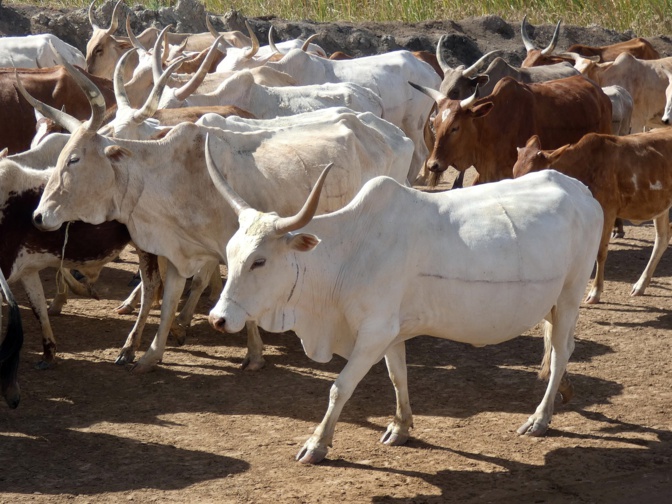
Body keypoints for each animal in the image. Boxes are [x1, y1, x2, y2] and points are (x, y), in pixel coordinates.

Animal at [207, 162, 600, 464]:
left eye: (259, 261)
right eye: (231, 253)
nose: (217, 318)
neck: (348, 254)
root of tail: (581, 190)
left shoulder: (373, 333)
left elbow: (339, 388)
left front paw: (317, 444)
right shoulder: (391, 332)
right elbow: (398, 377)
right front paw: (400, 427)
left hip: (570, 293)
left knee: (563, 350)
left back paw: (540, 418)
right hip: (551, 302)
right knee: (556, 347)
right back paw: (563, 392)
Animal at [516, 130, 672, 304]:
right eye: (514, 172)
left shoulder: (608, 211)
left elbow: (600, 252)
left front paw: (595, 292)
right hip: (661, 205)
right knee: (662, 237)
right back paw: (640, 285)